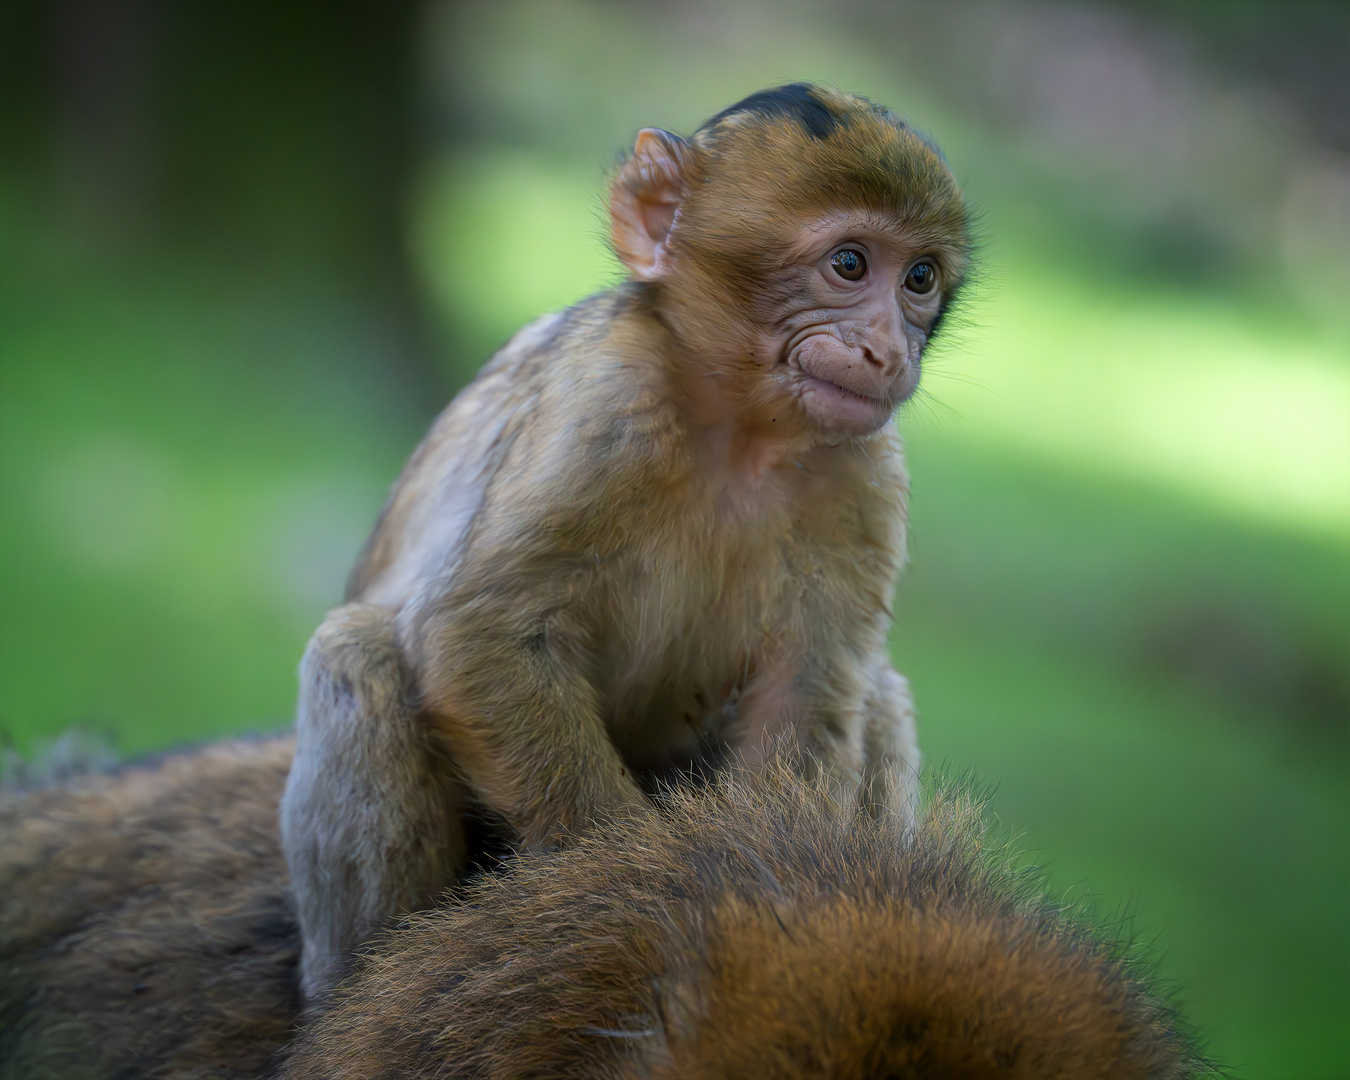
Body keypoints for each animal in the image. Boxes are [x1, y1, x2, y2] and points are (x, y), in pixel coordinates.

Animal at [282, 82, 972, 993]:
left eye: (920, 279)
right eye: (851, 264)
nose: (889, 350)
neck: (741, 433)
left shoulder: (865, 473)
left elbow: (810, 689)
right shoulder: (608, 397)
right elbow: (479, 632)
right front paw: (628, 901)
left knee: (877, 692)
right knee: (357, 652)